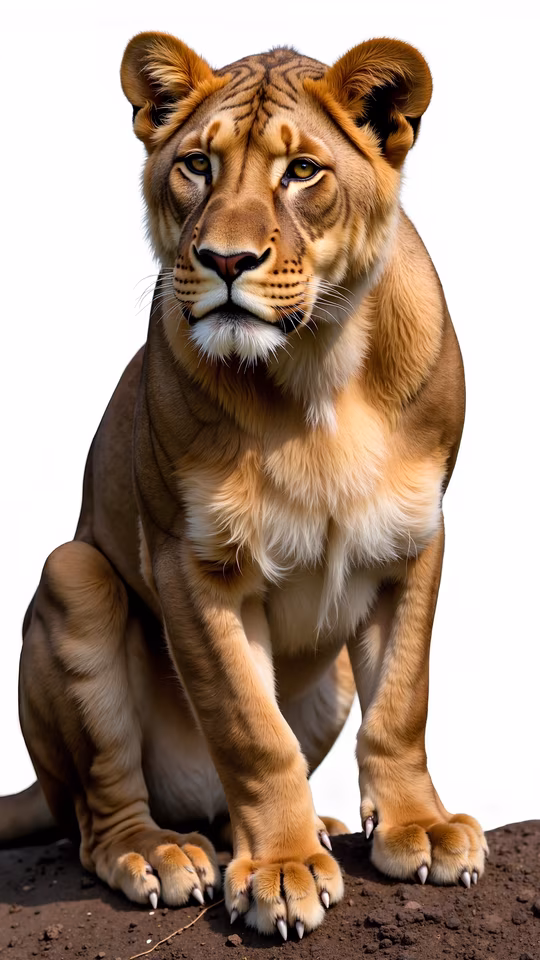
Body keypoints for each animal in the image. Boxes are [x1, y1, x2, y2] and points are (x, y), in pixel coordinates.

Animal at [0, 32, 488, 940]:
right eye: (197, 164)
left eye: (301, 172)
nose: (226, 260)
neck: (316, 366)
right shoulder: (193, 562)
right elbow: (250, 730)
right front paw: (283, 870)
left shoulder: (414, 539)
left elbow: (403, 700)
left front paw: (420, 828)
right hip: (71, 576)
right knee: (98, 816)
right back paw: (163, 852)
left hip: (327, 681)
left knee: (228, 800)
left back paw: (311, 829)